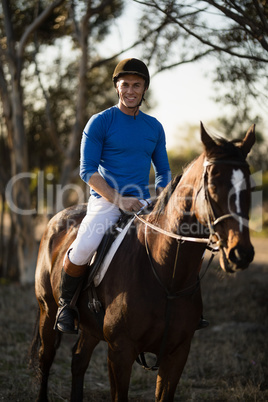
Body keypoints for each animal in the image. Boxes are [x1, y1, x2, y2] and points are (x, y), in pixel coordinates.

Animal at [30, 124, 255, 400]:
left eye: (249, 185)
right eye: (213, 184)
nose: (240, 253)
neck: (167, 275)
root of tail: (57, 219)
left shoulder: (177, 354)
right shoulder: (120, 351)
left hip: (91, 328)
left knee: (78, 360)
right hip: (47, 310)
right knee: (45, 359)